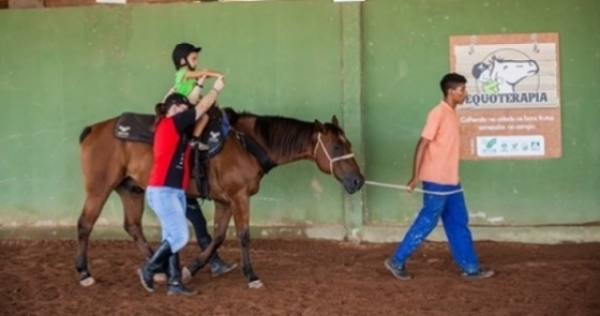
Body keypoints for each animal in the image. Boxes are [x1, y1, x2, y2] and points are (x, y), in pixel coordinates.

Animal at [75, 106, 366, 288]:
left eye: (349, 144)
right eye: (336, 147)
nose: (358, 181)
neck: (248, 143)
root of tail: (94, 129)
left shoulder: (224, 200)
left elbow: (217, 236)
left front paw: (191, 268)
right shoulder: (239, 197)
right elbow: (243, 235)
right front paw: (251, 276)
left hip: (130, 189)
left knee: (133, 227)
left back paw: (157, 268)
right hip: (99, 189)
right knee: (85, 225)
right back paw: (85, 273)